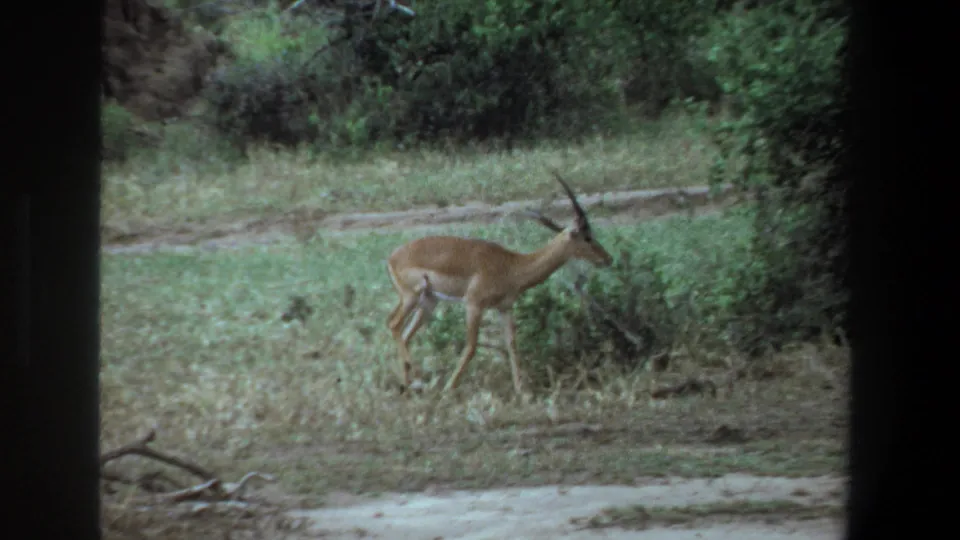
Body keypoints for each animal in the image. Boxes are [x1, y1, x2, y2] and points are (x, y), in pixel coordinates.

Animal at [385, 172, 614, 394]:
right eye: (587, 236)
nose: (608, 259)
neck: (513, 265)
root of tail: (393, 257)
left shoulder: (504, 308)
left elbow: (512, 344)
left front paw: (521, 391)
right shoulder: (474, 304)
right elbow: (471, 346)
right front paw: (450, 388)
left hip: (429, 302)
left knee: (404, 334)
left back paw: (408, 385)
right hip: (412, 296)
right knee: (393, 325)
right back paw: (416, 382)